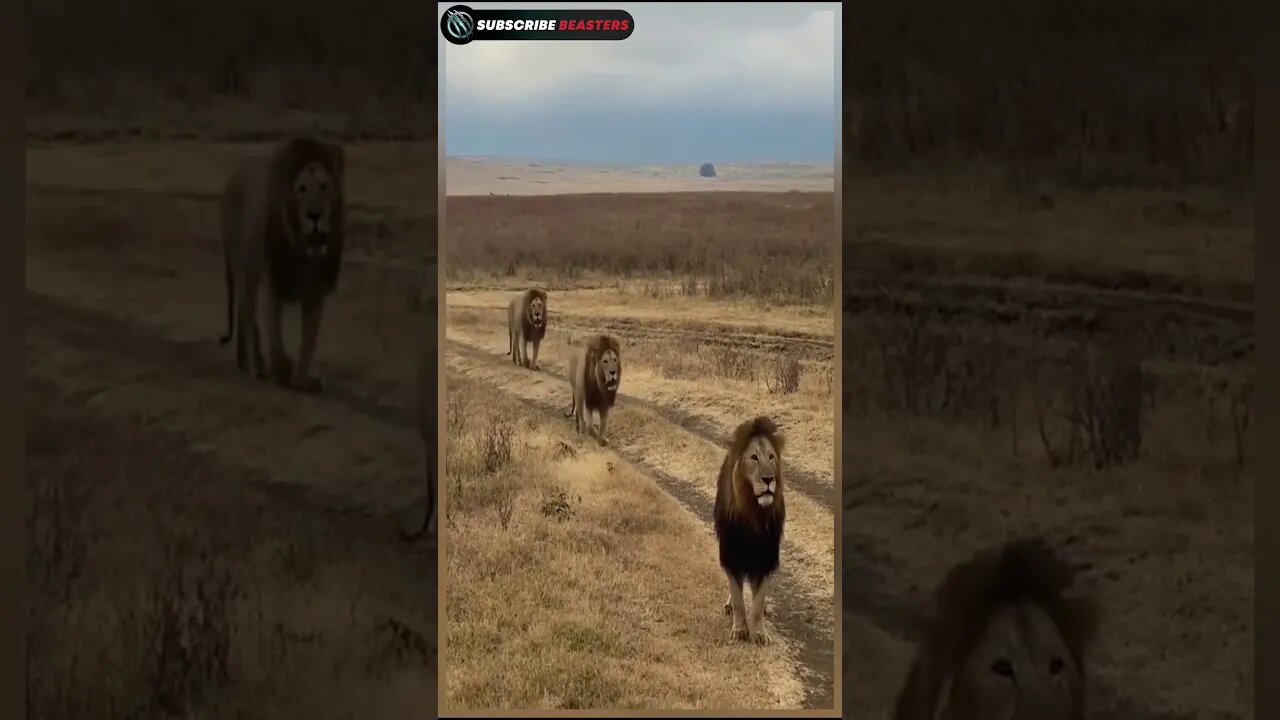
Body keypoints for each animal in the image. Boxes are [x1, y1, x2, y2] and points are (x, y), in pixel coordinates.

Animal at [218, 135, 346, 393]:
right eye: (302, 189)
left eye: (324, 186)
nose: (314, 215)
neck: (306, 251)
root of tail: (232, 180)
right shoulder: (274, 280)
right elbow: (275, 333)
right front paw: (281, 370)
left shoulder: (316, 291)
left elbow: (309, 339)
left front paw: (303, 379)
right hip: (245, 269)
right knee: (248, 314)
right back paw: (257, 365)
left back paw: (244, 362)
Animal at [713, 416, 786, 645]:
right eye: (754, 457)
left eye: (771, 457)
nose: (768, 479)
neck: (755, 514)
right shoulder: (731, 555)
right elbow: (738, 599)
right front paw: (739, 630)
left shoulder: (764, 558)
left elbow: (758, 601)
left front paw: (760, 633)